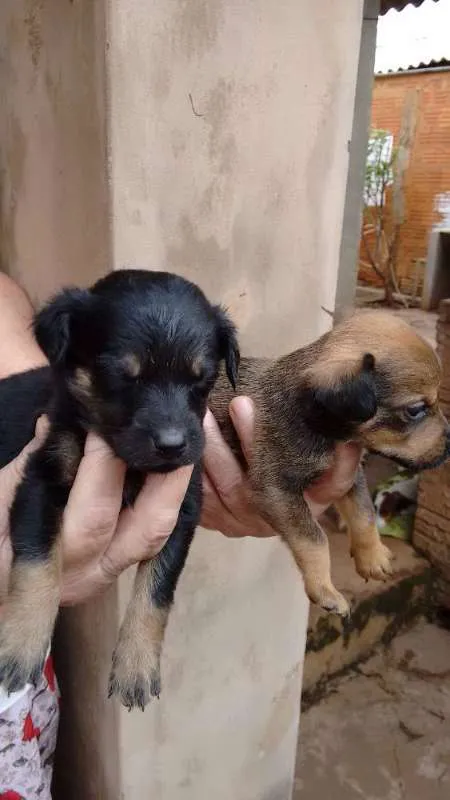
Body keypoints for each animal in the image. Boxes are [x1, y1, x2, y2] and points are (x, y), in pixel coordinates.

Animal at [0, 272, 239, 708]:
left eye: (202, 379)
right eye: (122, 377)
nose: (173, 445)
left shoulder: (181, 511)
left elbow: (156, 591)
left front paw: (137, 665)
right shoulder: (40, 481)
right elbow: (37, 562)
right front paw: (22, 644)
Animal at [209, 310, 448, 616]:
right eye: (415, 410)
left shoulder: (352, 477)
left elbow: (363, 514)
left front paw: (372, 557)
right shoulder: (277, 489)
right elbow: (315, 539)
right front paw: (325, 590)